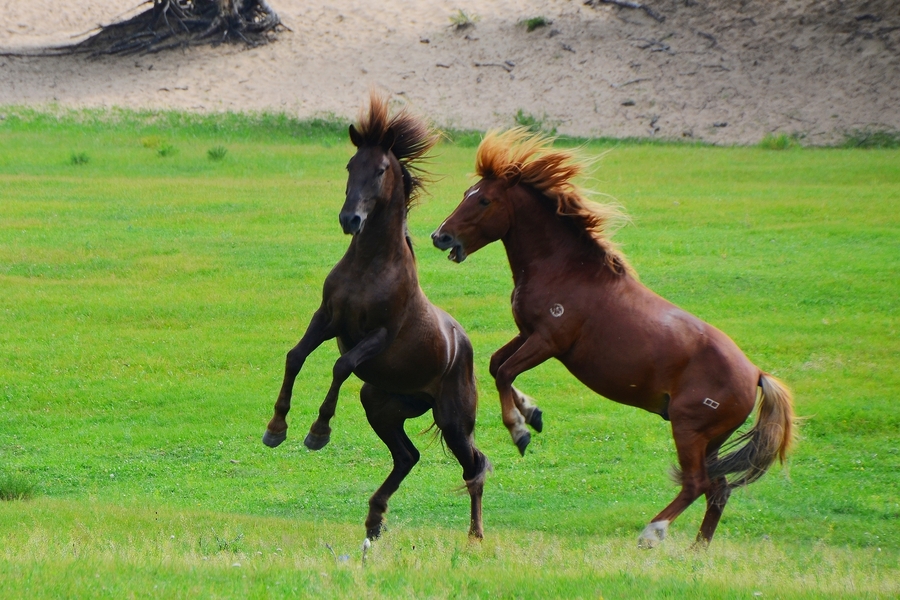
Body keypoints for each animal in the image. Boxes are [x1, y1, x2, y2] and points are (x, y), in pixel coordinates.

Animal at [266, 92, 488, 540]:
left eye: (382, 169)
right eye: (351, 166)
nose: (349, 219)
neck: (370, 267)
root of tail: (462, 343)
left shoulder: (379, 335)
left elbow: (341, 365)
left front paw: (318, 432)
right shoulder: (327, 318)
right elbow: (295, 356)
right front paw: (276, 428)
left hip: (453, 420)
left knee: (474, 465)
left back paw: (475, 534)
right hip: (380, 404)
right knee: (407, 456)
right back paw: (374, 519)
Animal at [432, 129, 800, 548]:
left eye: (484, 199)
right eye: (467, 192)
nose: (440, 236)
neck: (566, 269)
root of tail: (756, 374)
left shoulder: (549, 341)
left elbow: (506, 372)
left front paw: (520, 430)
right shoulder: (528, 333)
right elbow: (497, 365)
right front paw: (532, 413)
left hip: (689, 430)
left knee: (697, 484)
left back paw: (653, 533)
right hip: (711, 439)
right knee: (718, 489)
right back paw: (697, 550)